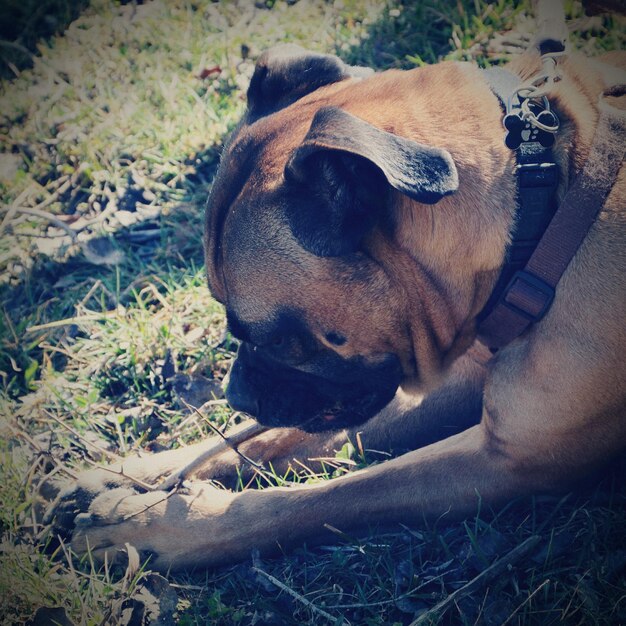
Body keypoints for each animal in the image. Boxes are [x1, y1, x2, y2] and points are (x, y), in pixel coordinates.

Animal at [48, 37, 624, 572]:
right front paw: (137, 475)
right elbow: (264, 441)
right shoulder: (457, 382)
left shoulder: (507, 460)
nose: (234, 394)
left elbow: (318, 498)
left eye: (276, 337)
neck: (541, 216)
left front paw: (163, 529)